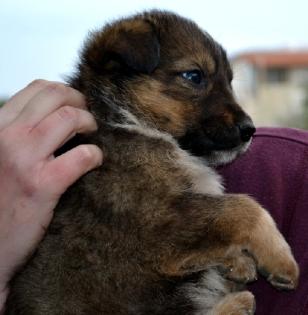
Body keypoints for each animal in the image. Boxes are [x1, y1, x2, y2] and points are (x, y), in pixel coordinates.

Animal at [5, 10, 298, 315]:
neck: (129, 122)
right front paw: (280, 259)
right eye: (194, 76)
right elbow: (241, 207)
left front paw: (238, 262)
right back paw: (238, 303)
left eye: (229, 81)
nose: (249, 130)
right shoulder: (155, 223)